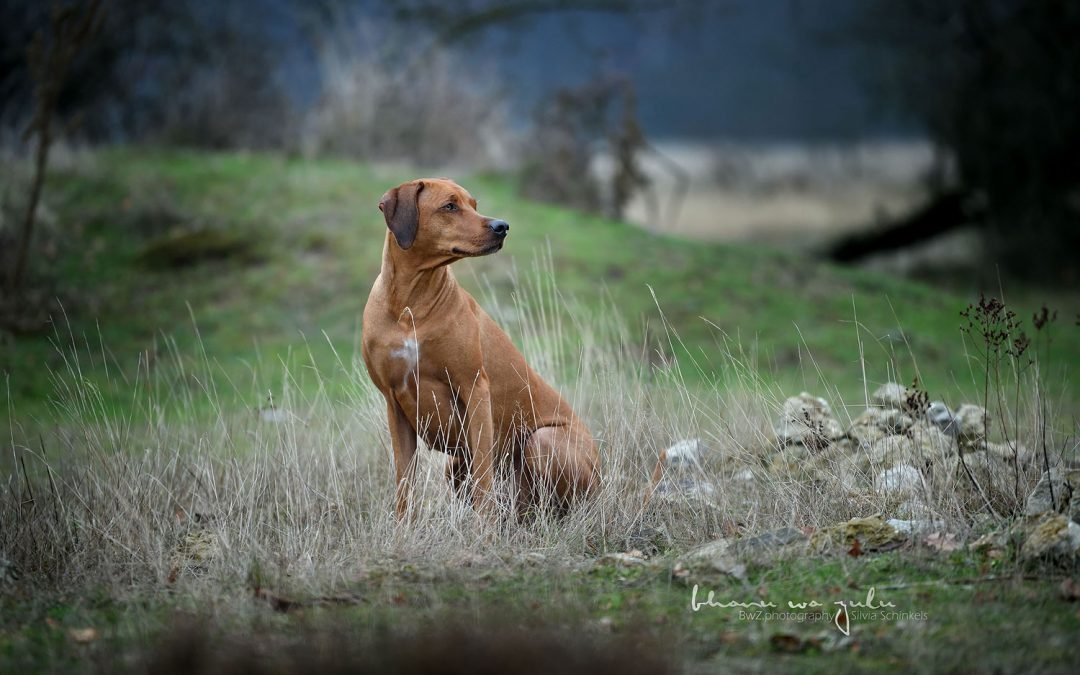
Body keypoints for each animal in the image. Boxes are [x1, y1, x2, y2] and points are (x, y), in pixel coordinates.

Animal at [360, 178, 600, 516]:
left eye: (474, 204)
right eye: (449, 206)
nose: (503, 226)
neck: (410, 304)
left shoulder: (475, 390)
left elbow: (484, 480)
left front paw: (484, 529)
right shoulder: (394, 404)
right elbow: (404, 487)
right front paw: (403, 528)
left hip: (543, 441)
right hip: (455, 466)